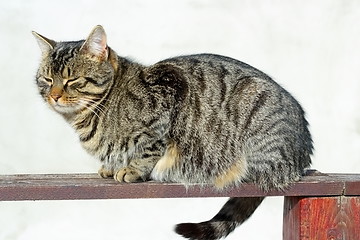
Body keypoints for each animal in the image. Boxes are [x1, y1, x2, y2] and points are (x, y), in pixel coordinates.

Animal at [31, 25, 312, 239]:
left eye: (72, 80)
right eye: (47, 79)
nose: (54, 95)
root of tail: (302, 157)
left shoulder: (168, 93)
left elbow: (149, 148)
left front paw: (132, 169)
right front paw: (112, 165)